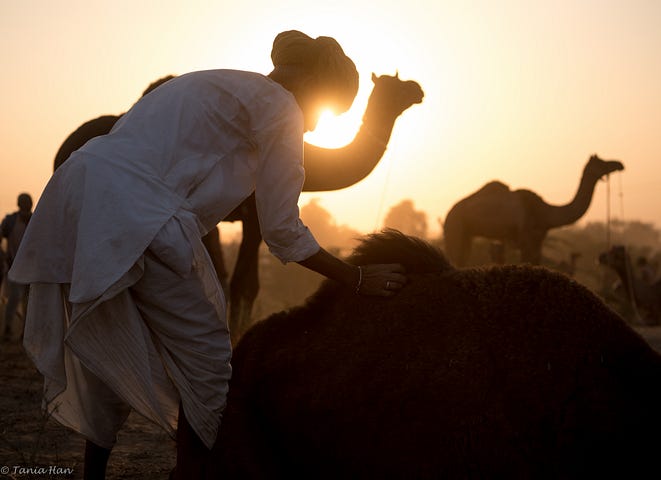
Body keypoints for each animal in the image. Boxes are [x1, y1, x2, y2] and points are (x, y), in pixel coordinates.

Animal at [444, 155, 624, 266]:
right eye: (602, 162)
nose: (619, 164)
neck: (546, 212)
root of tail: (449, 214)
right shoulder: (526, 239)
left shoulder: (538, 241)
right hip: (455, 227)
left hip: (467, 233)